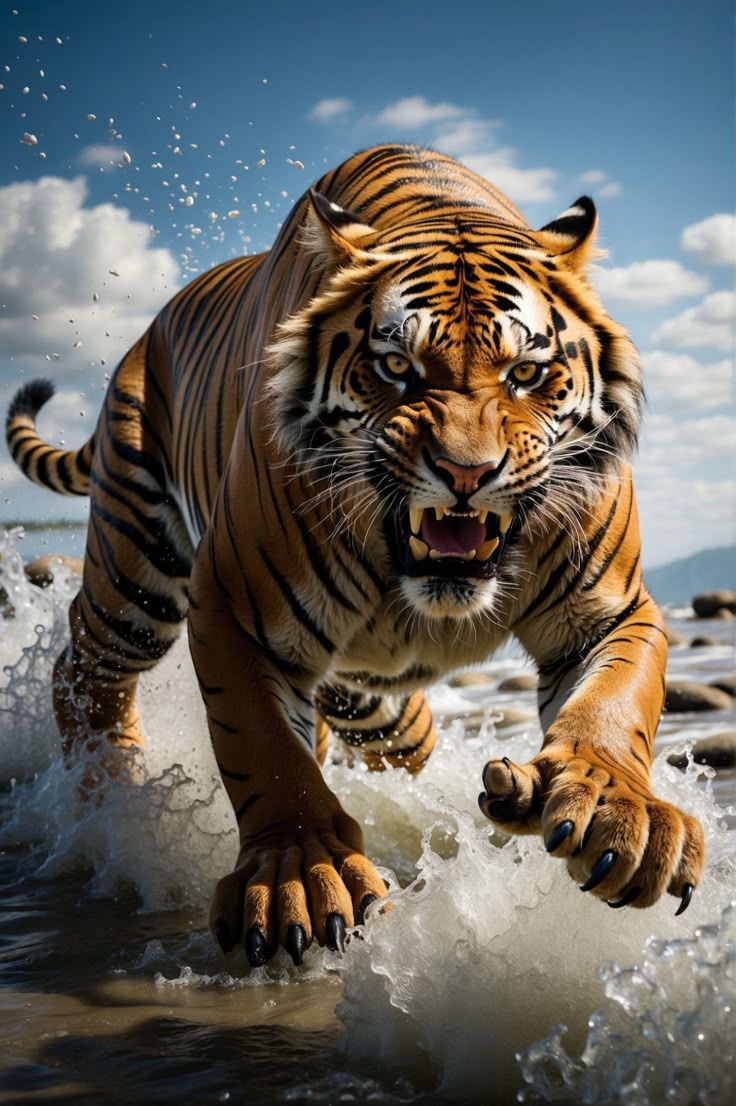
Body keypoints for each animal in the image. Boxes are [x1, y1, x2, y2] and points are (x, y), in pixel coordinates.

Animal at [6, 143, 704, 968]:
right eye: (397, 368)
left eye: (525, 374)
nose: (467, 472)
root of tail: (148, 334)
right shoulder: (233, 607)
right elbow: (264, 748)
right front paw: (297, 873)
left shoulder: (611, 609)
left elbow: (615, 705)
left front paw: (614, 809)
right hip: (136, 573)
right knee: (83, 668)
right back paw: (111, 796)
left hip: (379, 708)